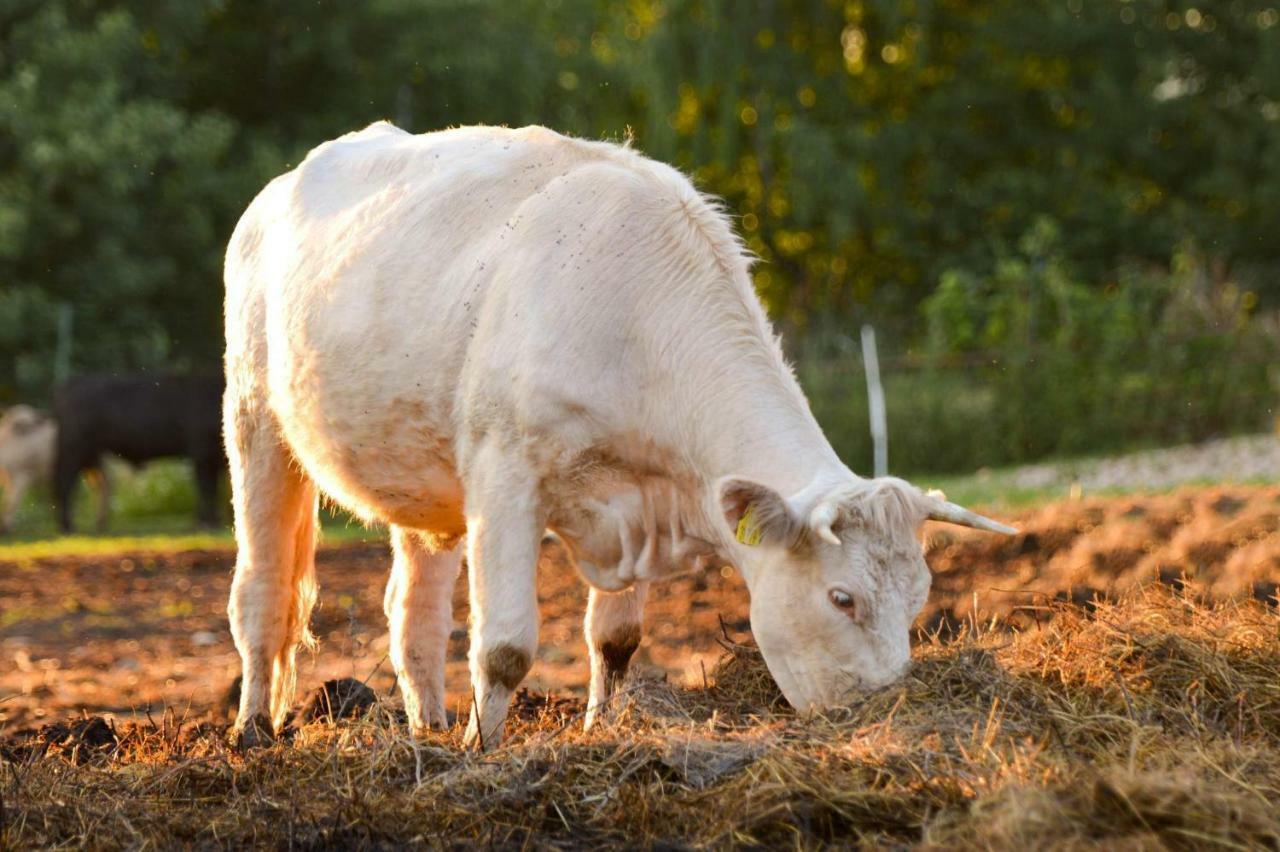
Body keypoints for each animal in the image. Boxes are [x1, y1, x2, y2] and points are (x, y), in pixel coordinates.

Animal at [222, 122, 1018, 747]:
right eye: (842, 598)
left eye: (919, 598)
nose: (888, 707)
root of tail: (279, 186)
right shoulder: (504, 474)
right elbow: (504, 646)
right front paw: (486, 749)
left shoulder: (638, 494)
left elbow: (616, 639)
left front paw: (600, 728)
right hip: (254, 419)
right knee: (263, 592)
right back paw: (255, 730)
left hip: (420, 476)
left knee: (411, 610)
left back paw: (429, 730)